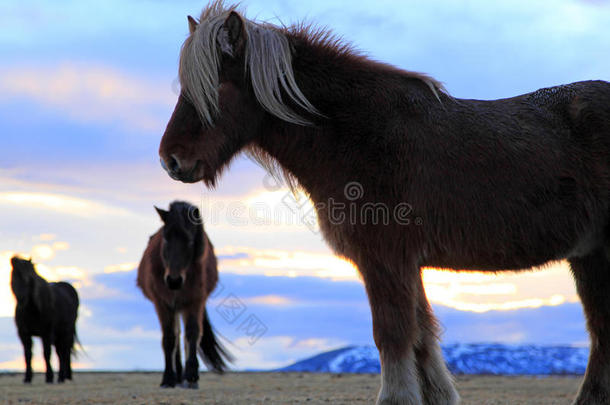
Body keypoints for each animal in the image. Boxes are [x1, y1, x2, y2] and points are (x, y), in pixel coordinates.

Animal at [137, 200, 229, 386]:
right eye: (165, 238)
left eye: (190, 241)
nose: (174, 280)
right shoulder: (162, 303)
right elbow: (169, 338)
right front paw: (168, 378)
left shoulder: (195, 301)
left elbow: (192, 333)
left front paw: (192, 375)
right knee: (176, 334)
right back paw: (177, 375)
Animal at [158, 1, 608, 402]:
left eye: (219, 85)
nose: (170, 160)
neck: (361, 137)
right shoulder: (406, 264)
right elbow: (422, 335)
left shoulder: (385, 259)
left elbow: (392, 333)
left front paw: (397, 397)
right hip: (588, 257)